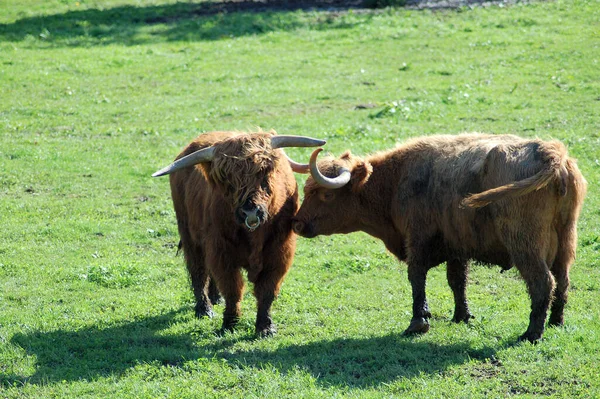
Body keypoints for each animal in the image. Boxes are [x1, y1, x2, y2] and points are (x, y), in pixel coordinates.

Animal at [152, 132, 326, 338]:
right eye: (228, 181)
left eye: (263, 174)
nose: (250, 211)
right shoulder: (221, 251)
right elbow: (232, 289)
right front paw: (229, 324)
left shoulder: (280, 253)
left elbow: (267, 290)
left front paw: (265, 327)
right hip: (189, 234)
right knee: (198, 270)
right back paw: (205, 309)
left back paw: (215, 298)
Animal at [292, 134, 588, 344]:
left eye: (325, 194)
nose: (296, 223)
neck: (397, 180)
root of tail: (551, 153)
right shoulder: (457, 247)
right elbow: (457, 281)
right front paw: (461, 316)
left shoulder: (418, 240)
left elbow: (417, 278)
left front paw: (418, 322)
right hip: (565, 243)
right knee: (562, 281)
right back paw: (556, 322)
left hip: (524, 245)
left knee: (542, 283)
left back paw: (531, 334)